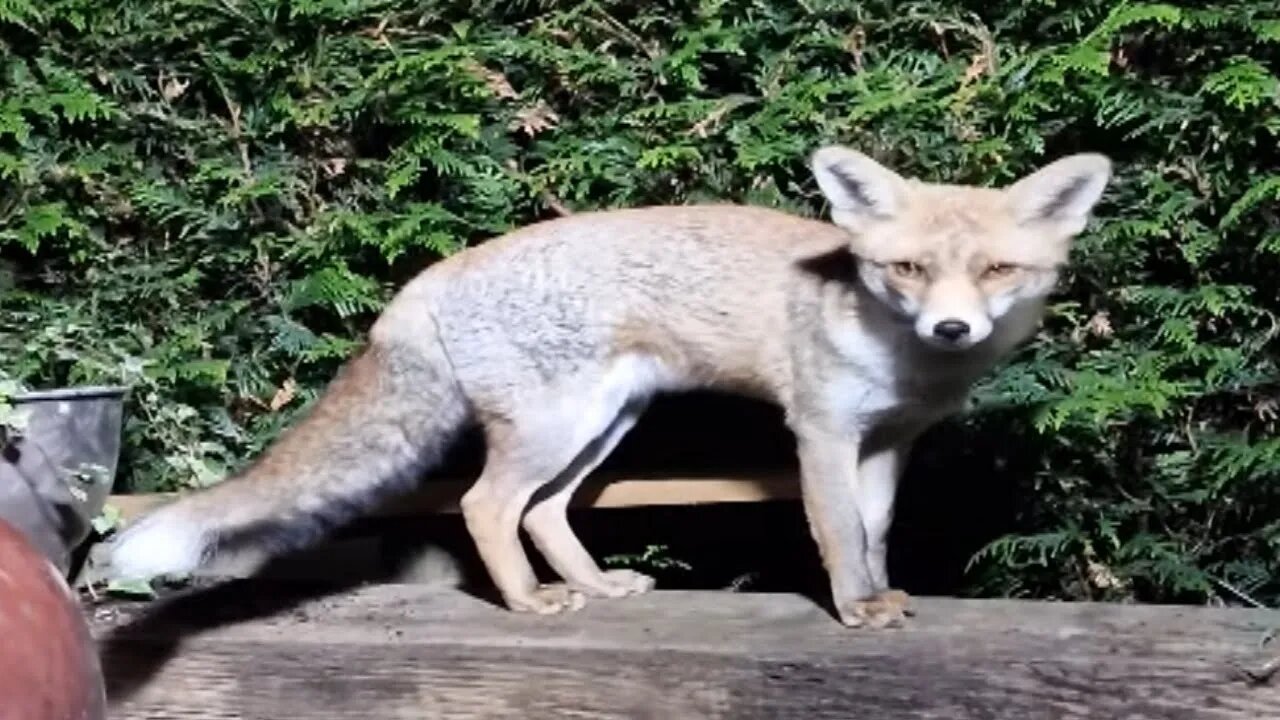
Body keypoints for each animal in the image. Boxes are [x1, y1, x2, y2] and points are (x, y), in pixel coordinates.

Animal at [107, 147, 1111, 627]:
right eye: (906, 268)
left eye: (996, 271)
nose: (952, 328)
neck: (901, 361)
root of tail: (430, 275)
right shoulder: (820, 432)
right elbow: (835, 535)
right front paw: (856, 609)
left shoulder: (889, 442)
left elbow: (874, 533)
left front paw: (882, 593)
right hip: (558, 427)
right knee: (485, 505)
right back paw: (527, 602)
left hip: (606, 426)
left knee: (547, 512)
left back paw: (590, 584)